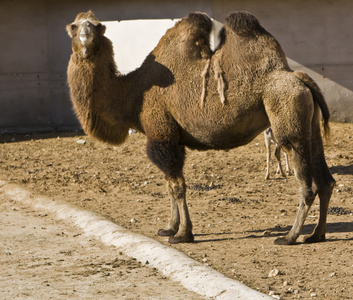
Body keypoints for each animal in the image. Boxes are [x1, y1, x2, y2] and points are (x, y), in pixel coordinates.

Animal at [66, 10, 336, 245]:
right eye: (74, 26)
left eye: (97, 25)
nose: (86, 35)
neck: (133, 93)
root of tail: (300, 78)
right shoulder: (170, 138)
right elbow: (169, 185)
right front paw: (169, 228)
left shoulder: (161, 134)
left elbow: (177, 187)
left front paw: (183, 234)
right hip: (309, 126)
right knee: (326, 181)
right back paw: (316, 234)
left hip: (287, 118)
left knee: (307, 184)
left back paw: (290, 237)